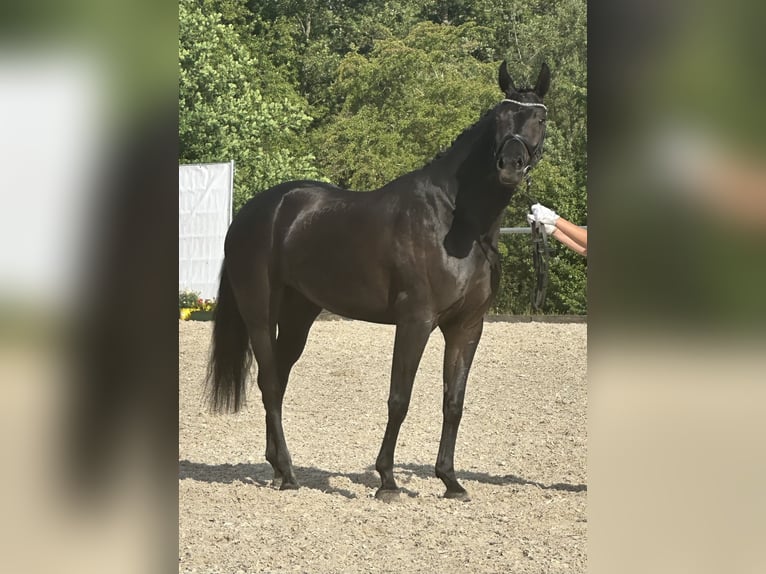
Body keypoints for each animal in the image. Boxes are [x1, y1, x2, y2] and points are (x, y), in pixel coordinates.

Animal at [206, 61, 550, 501]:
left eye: (538, 118)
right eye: (499, 119)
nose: (510, 165)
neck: (455, 222)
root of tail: (253, 213)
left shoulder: (467, 326)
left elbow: (453, 401)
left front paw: (450, 481)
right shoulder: (416, 320)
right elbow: (399, 398)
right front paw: (387, 480)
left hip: (300, 314)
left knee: (278, 383)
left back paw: (280, 470)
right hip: (260, 315)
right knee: (268, 382)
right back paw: (289, 472)